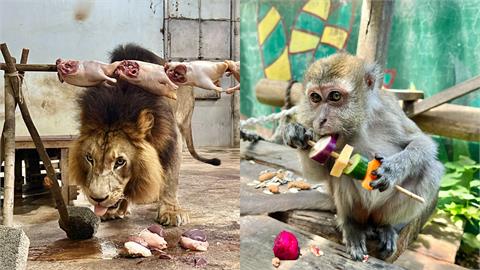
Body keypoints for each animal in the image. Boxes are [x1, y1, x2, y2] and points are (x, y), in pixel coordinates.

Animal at [69, 46, 191, 226]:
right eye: (90, 158)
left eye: (120, 162)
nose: (97, 199)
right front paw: (114, 211)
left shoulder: (172, 140)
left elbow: (170, 178)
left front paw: (171, 212)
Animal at [284, 52, 444, 262]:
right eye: (315, 97)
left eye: (335, 96)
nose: (320, 120)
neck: (358, 124)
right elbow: (318, 173)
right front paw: (297, 133)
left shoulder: (388, 108)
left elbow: (422, 141)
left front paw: (393, 169)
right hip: (357, 208)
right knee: (341, 173)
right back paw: (352, 224)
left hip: (379, 211)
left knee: (430, 168)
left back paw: (386, 226)